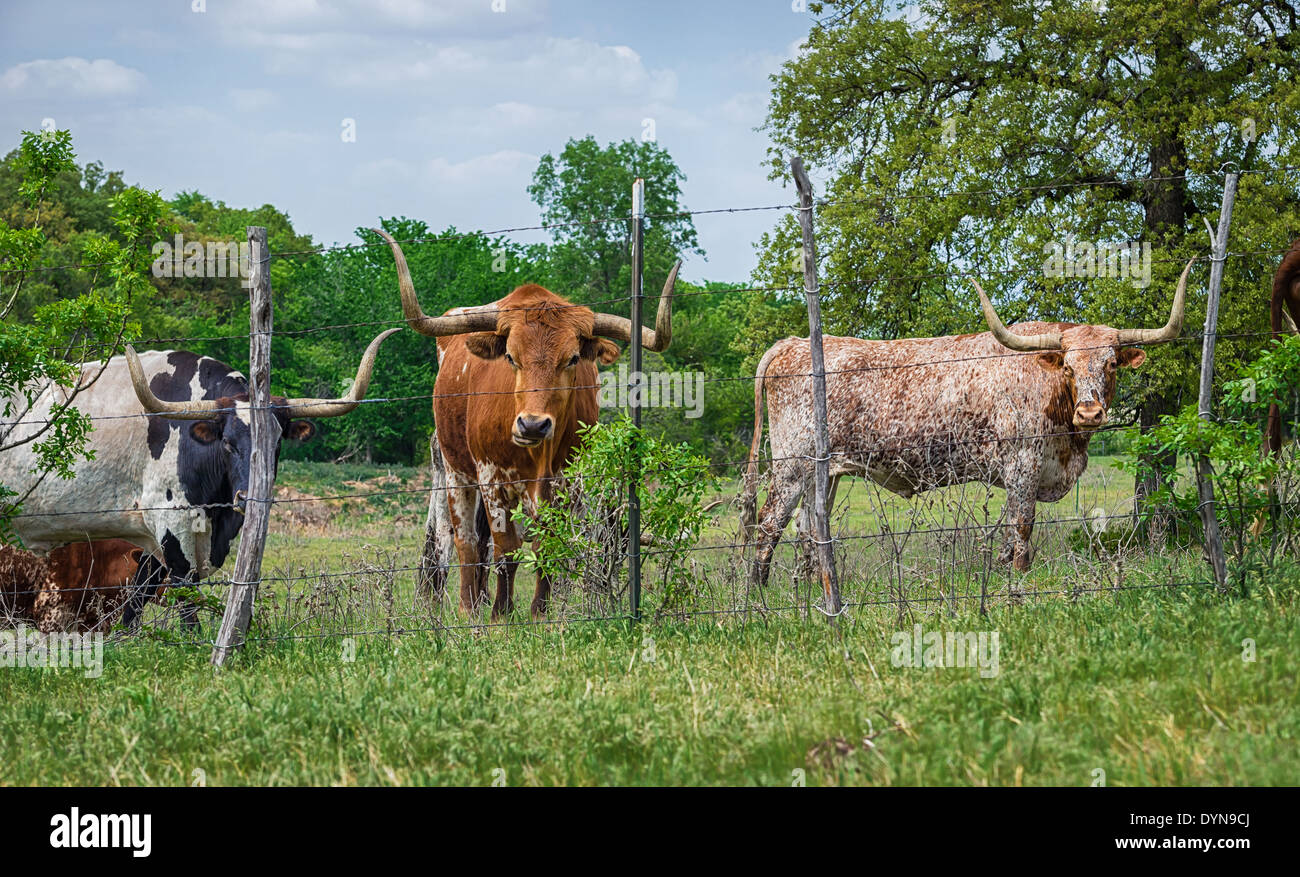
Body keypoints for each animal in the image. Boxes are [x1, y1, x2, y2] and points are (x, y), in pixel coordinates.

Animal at [0, 330, 399, 612]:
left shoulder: (150, 541)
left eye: (277, 443)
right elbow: (185, 597)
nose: (250, 498)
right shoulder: (171, 524)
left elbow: (136, 601)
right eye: (227, 443)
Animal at [372, 228, 679, 621]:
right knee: (466, 542)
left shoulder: (567, 482)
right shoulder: (491, 478)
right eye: (510, 356)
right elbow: (505, 550)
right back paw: (469, 608)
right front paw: (500, 614)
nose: (533, 425)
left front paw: (539, 612)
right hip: (455, 470)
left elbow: (548, 546)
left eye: (573, 358)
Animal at [740, 259, 1195, 592]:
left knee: (809, 527)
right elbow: (1021, 526)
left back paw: (808, 589)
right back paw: (759, 596)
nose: (1089, 413)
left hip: (826, 473)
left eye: (1112, 363)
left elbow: (1010, 532)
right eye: (1067, 366)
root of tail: (791, 344)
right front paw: (1018, 582)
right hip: (791, 465)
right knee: (769, 523)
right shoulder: (1023, 464)